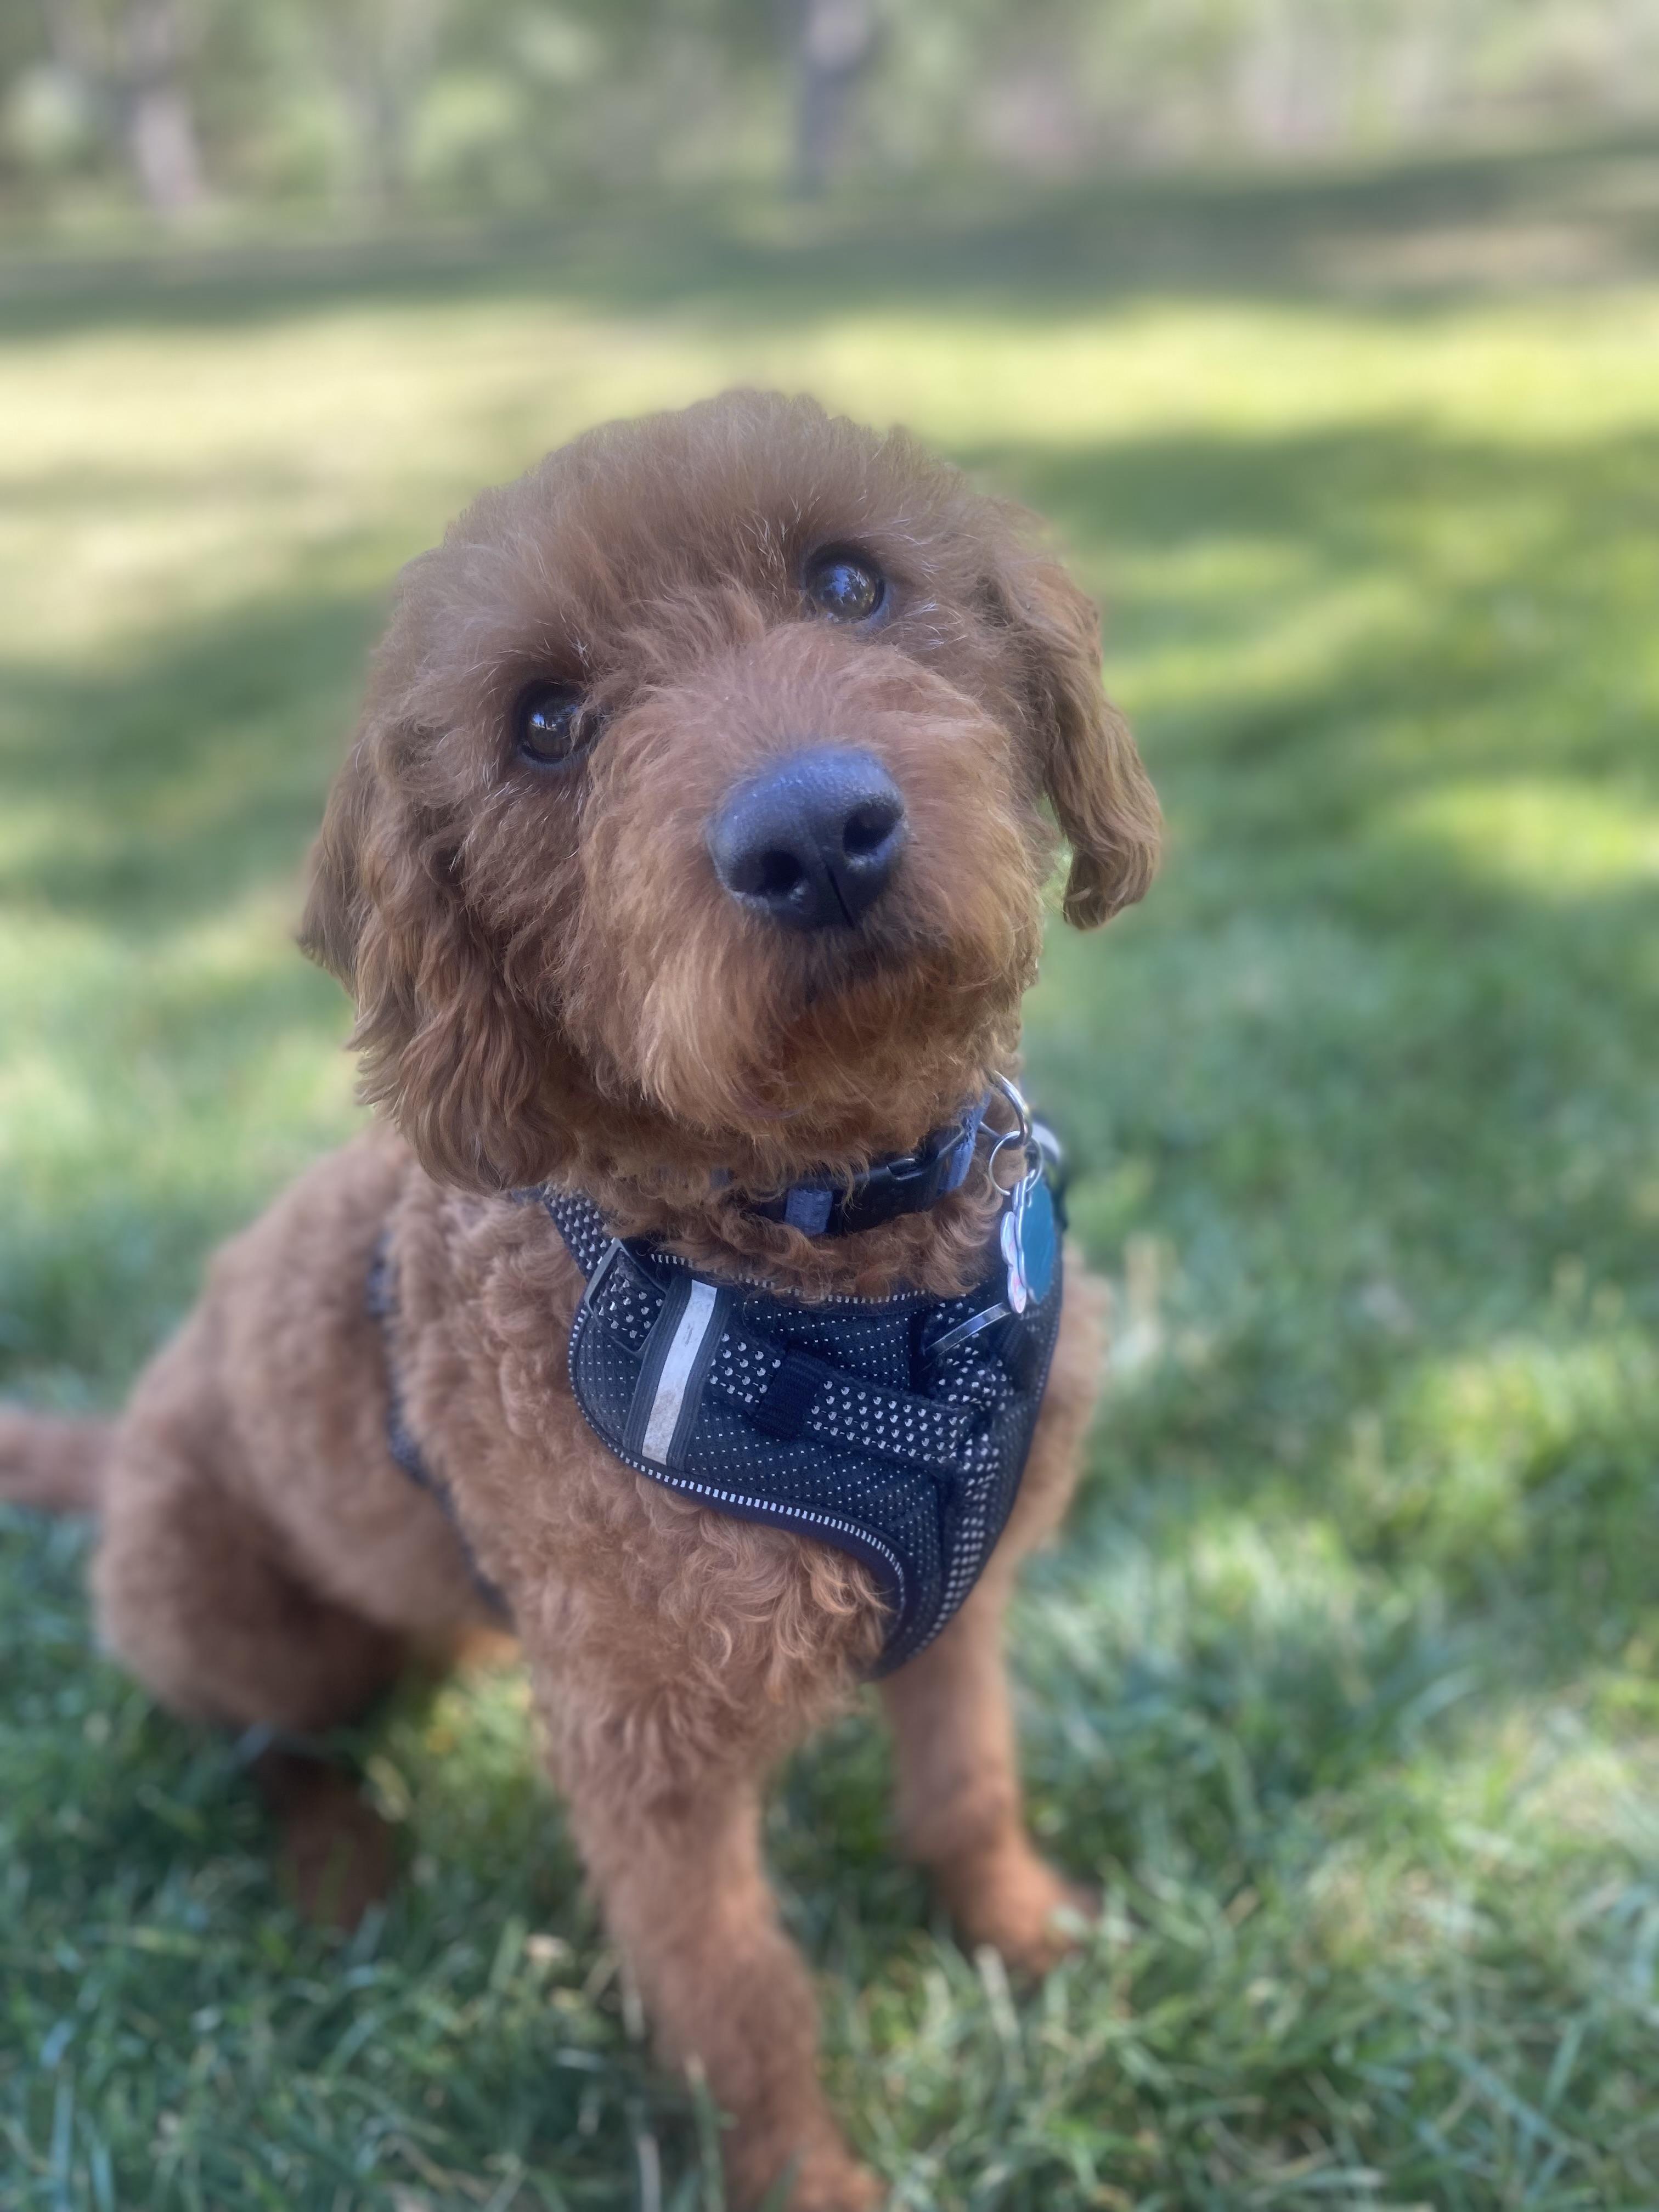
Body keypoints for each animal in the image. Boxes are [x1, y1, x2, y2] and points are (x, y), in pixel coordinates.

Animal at [0, 389, 1159, 2210]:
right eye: (545, 723)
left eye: (852, 581)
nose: (814, 835)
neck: (827, 1258)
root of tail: (115, 1447)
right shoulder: (649, 1755)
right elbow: (739, 1996)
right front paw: (810, 2178)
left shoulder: (957, 1609)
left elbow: (967, 1794)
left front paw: (1029, 1940)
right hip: (226, 1612)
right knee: (270, 1744)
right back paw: (340, 1865)